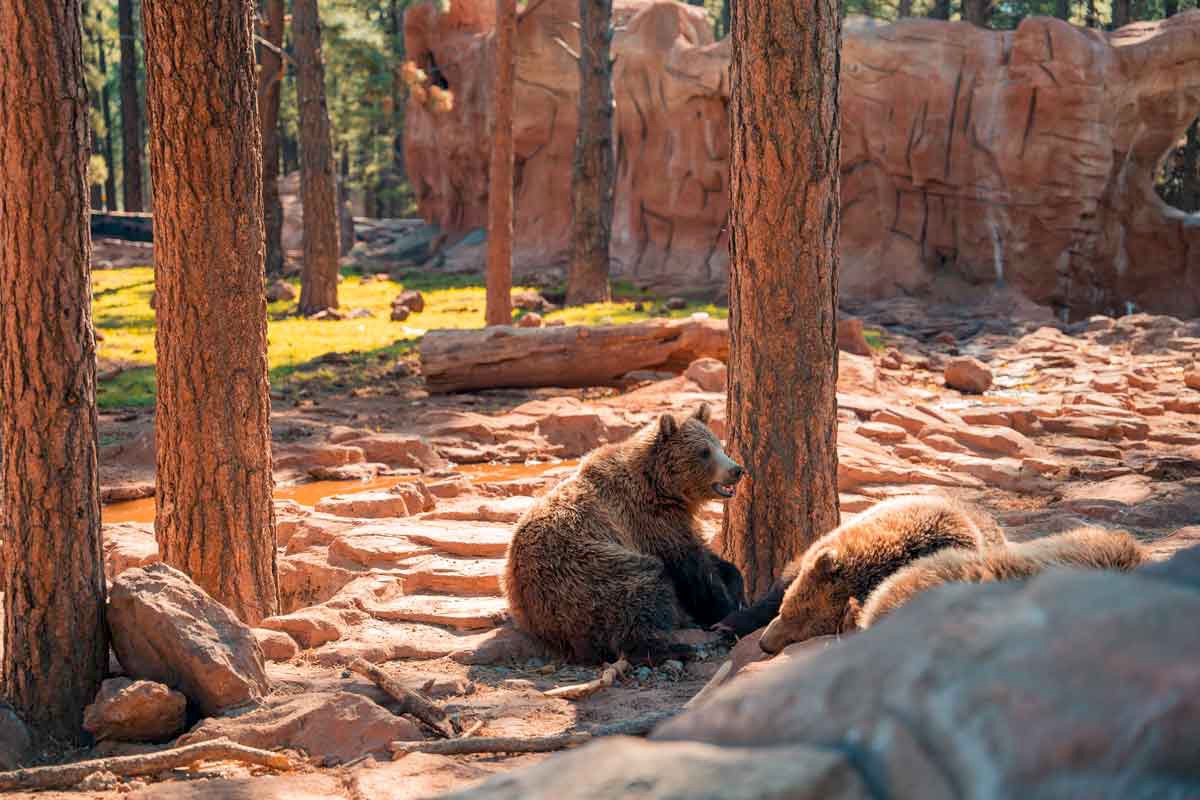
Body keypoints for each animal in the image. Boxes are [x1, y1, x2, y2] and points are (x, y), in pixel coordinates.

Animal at [503, 403, 747, 664]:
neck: (661, 487)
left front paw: (735, 587)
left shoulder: (674, 522)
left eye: (719, 446)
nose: (736, 469)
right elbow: (693, 570)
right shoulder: (648, 522)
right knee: (642, 588)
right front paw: (725, 610)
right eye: (704, 452)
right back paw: (675, 648)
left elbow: (708, 556)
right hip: (584, 571)